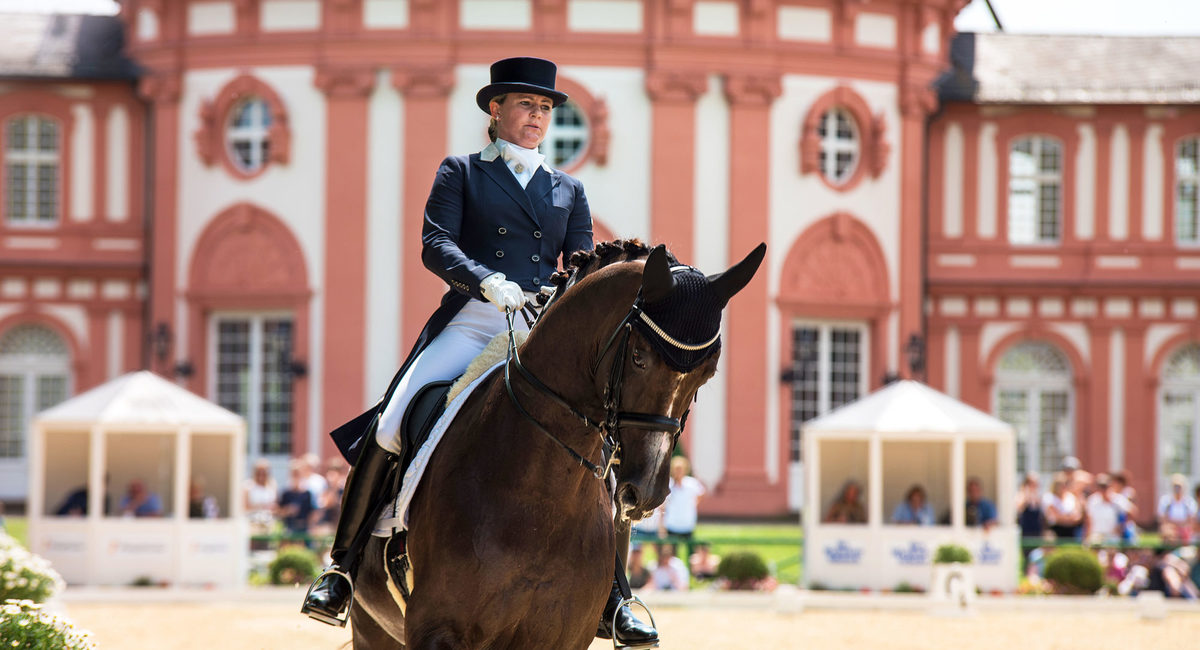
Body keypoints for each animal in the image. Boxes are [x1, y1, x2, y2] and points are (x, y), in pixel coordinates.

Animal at [350, 241, 758, 650]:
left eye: (708, 372)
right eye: (639, 357)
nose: (647, 493)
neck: (541, 496)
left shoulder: (565, 636)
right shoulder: (437, 631)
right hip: (371, 630)